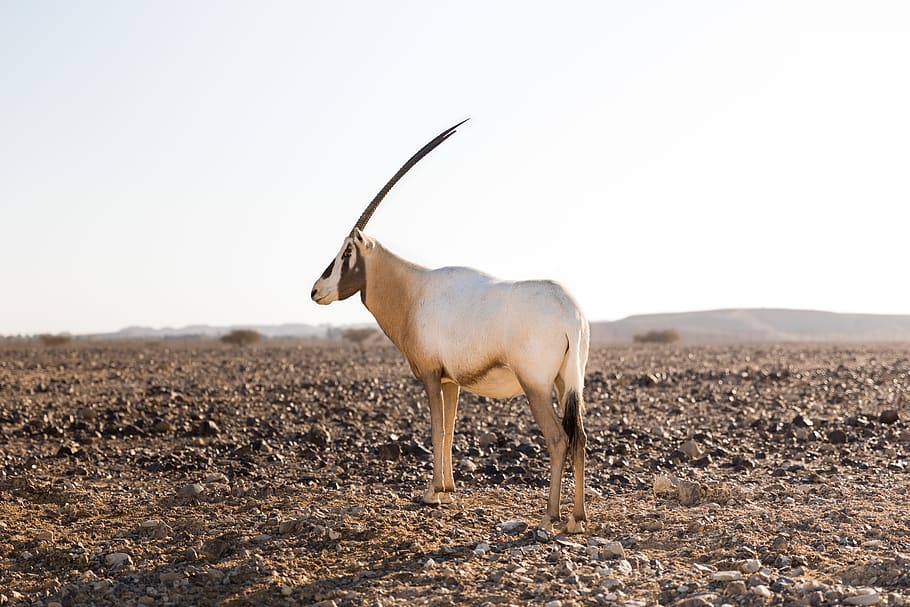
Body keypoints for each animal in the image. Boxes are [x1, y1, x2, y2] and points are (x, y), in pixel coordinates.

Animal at [311, 120, 589, 533]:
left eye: (346, 252)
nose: (316, 290)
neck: (413, 290)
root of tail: (570, 312)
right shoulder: (451, 380)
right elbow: (451, 428)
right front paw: (447, 489)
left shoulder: (429, 374)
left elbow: (437, 428)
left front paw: (433, 493)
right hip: (566, 381)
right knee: (580, 436)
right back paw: (577, 518)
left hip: (535, 385)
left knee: (558, 438)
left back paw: (549, 516)